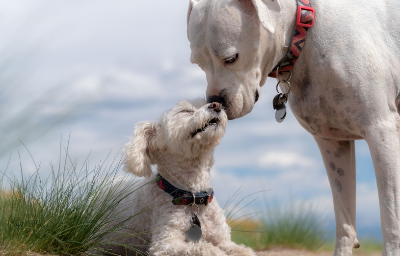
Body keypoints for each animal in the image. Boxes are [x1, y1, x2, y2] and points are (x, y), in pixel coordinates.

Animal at [105, 98, 256, 256]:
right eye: (186, 111)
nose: (217, 105)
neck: (193, 197)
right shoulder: (164, 244)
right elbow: (203, 247)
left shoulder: (223, 240)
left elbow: (244, 250)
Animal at [189, 0, 400, 256]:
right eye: (198, 64)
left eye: (231, 58)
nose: (214, 101)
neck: (306, 31)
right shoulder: (333, 145)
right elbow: (344, 220)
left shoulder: (382, 132)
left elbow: (390, 217)